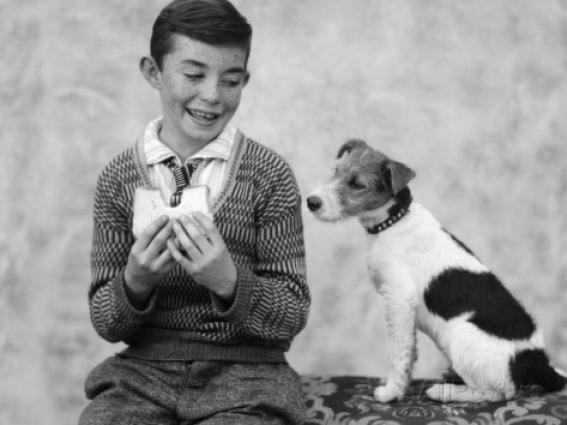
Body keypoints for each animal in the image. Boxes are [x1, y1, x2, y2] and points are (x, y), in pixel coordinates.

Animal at [308, 138, 564, 400]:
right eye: (335, 171)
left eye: (357, 184)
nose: (311, 202)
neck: (393, 220)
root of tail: (539, 365)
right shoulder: (405, 310)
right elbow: (409, 351)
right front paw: (402, 385)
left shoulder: (398, 298)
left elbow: (397, 351)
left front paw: (391, 392)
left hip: (464, 338)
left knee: (495, 393)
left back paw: (444, 391)